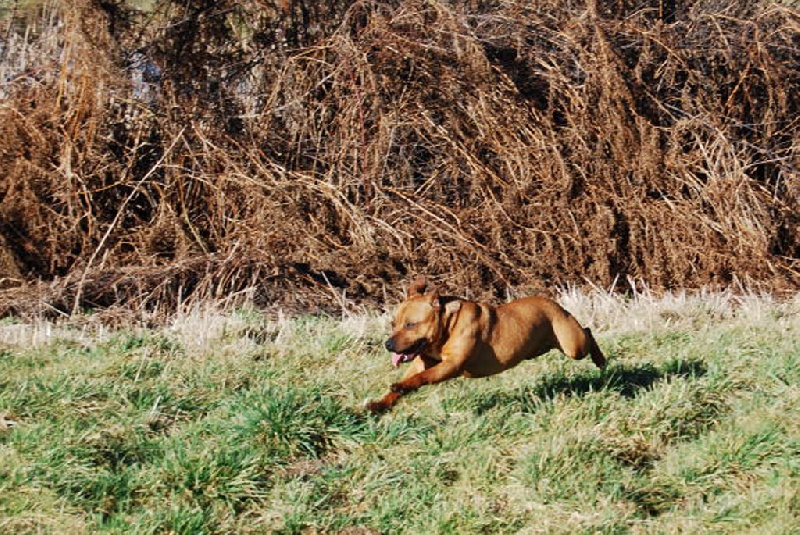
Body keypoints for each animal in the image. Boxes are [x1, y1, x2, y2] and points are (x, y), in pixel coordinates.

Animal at [368, 276, 608, 414]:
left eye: (410, 324)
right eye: (393, 324)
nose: (388, 344)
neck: (447, 324)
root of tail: (555, 304)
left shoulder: (450, 366)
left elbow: (421, 378)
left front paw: (401, 386)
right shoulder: (422, 362)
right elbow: (411, 377)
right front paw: (381, 403)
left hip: (573, 345)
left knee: (588, 332)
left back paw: (600, 360)